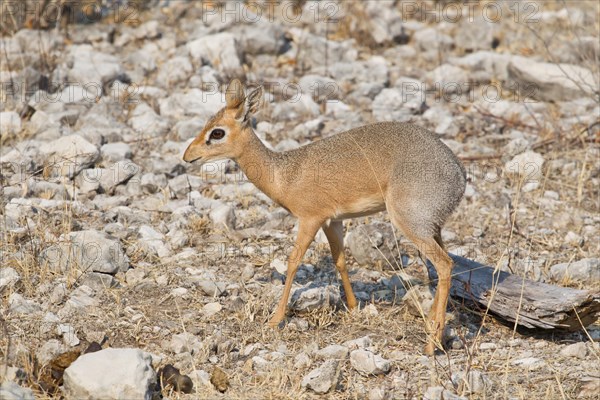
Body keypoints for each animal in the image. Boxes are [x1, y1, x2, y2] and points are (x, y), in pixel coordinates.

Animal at [185, 79, 466, 354]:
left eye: (217, 132)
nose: (187, 156)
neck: (284, 176)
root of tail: (459, 173)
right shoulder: (333, 221)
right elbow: (340, 261)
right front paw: (353, 307)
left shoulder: (310, 219)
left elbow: (293, 262)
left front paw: (275, 319)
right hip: (432, 228)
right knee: (442, 267)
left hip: (409, 224)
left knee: (445, 264)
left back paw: (432, 343)